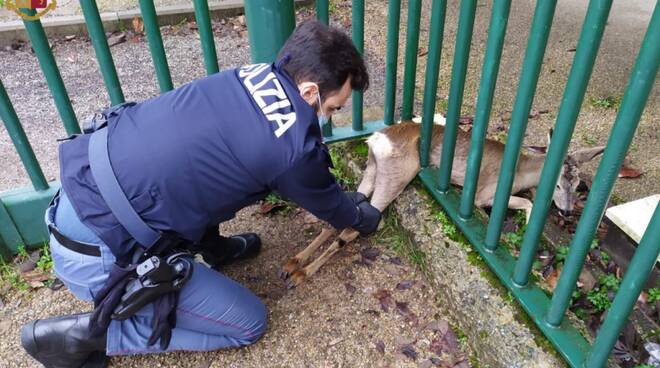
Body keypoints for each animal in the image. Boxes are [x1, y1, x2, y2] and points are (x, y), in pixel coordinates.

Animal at [278, 116, 604, 288]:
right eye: (559, 183)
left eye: (579, 185)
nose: (567, 211)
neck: (520, 172)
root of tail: (377, 140)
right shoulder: (485, 194)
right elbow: (526, 204)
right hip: (397, 174)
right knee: (353, 227)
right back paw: (302, 274)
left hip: (373, 169)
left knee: (341, 214)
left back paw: (294, 263)